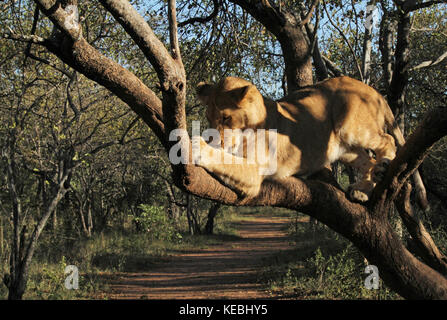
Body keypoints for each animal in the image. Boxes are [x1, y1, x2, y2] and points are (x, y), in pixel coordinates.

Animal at [196, 76, 406, 201]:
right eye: (208, 118)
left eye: (226, 118)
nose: (213, 140)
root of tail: (374, 91)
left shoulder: (256, 172)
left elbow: (224, 160)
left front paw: (197, 147)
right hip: (345, 150)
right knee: (368, 161)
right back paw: (362, 189)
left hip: (352, 128)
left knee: (388, 140)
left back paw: (382, 167)